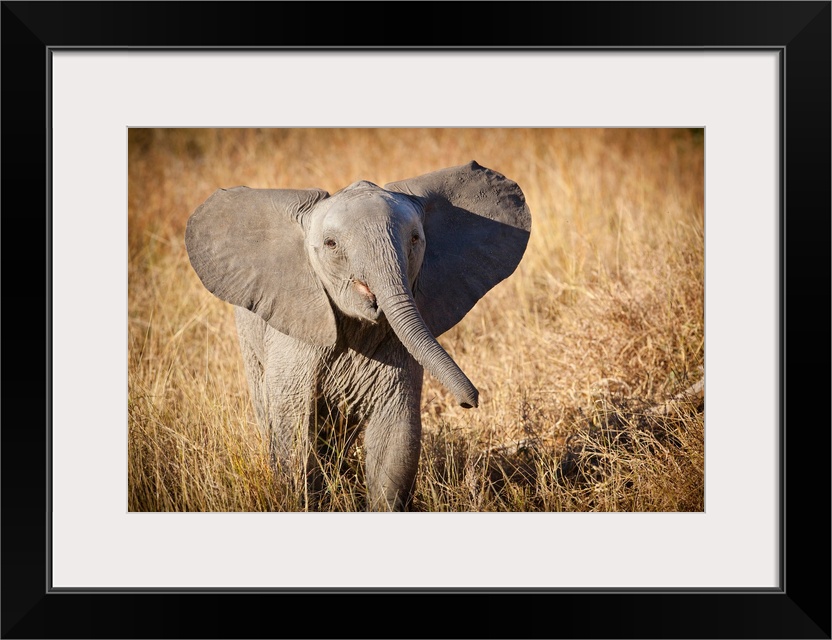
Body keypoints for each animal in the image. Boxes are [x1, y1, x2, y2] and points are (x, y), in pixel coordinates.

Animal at [185, 160, 528, 510]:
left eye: (415, 239)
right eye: (331, 245)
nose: (470, 402)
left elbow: (395, 438)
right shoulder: (295, 339)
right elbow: (293, 433)